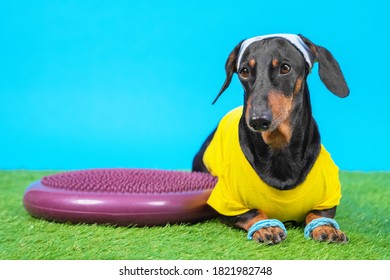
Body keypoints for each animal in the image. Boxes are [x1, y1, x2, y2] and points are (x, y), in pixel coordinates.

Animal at [193, 34, 348, 245]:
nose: (258, 120)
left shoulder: (328, 197)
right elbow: (253, 212)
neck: (278, 147)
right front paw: (266, 227)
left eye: (285, 68)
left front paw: (326, 227)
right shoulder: (225, 202)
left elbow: (317, 213)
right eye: (244, 71)